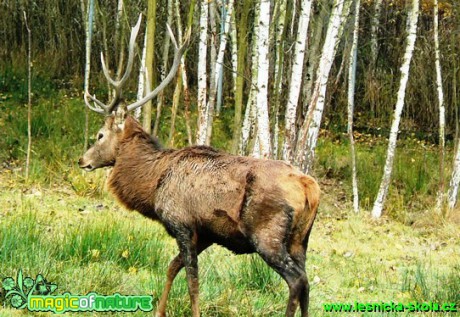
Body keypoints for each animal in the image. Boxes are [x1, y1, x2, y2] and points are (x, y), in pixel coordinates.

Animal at [78, 13, 320, 314]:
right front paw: (159, 311)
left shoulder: (181, 222)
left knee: (297, 281)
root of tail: (310, 188)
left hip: (268, 234)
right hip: (301, 239)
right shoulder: (206, 234)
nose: (82, 160)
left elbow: (193, 281)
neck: (153, 185)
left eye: (100, 135)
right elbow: (172, 267)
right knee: (307, 281)